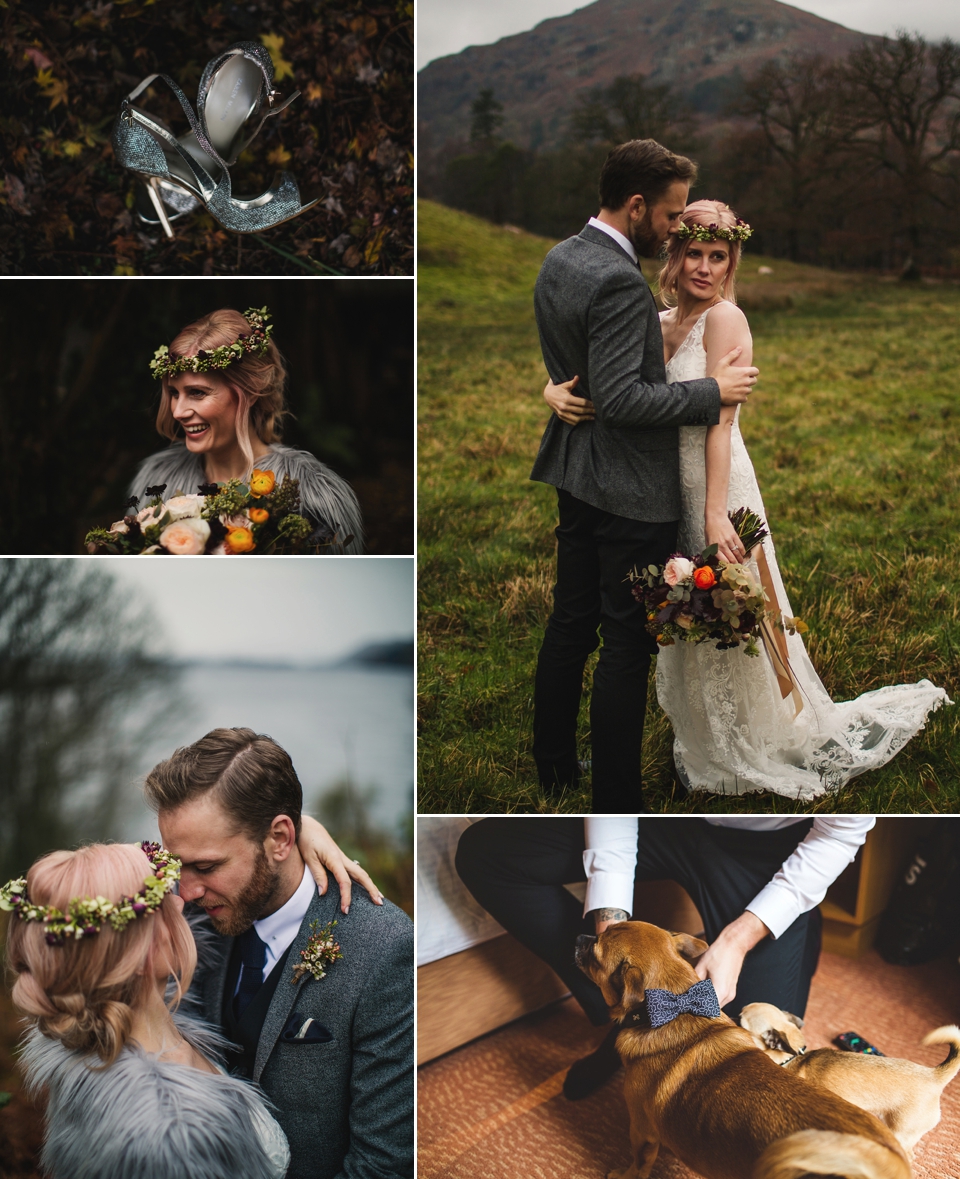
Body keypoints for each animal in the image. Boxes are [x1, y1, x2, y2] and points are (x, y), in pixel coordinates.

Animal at [575, 919, 915, 1179]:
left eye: (595, 950)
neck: (678, 1006)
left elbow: (638, 1166)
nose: (579, 937)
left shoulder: (642, 1133)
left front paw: (623, 1174)